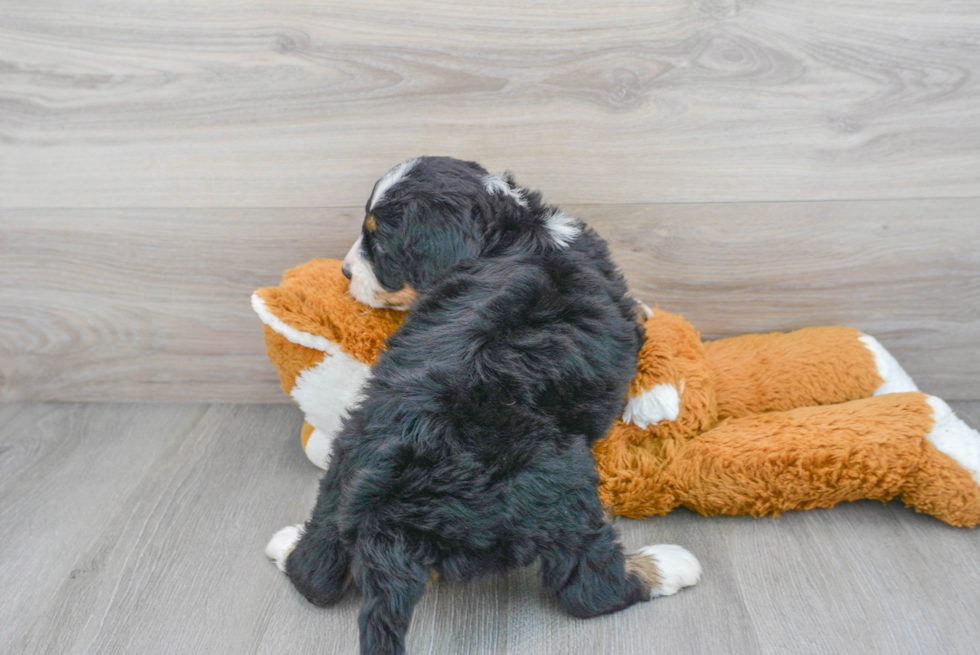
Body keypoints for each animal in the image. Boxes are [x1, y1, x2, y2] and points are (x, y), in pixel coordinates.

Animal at [264, 158, 700, 655]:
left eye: (381, 243)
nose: (343, 271)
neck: (515, 233)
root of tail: (385, 515)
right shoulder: (618, 307)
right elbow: (644, 321)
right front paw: (653, 395)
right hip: (559, 482)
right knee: (588, 587)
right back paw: (666, 565)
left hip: (343, 466)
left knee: (314, 574)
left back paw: (288, 543)